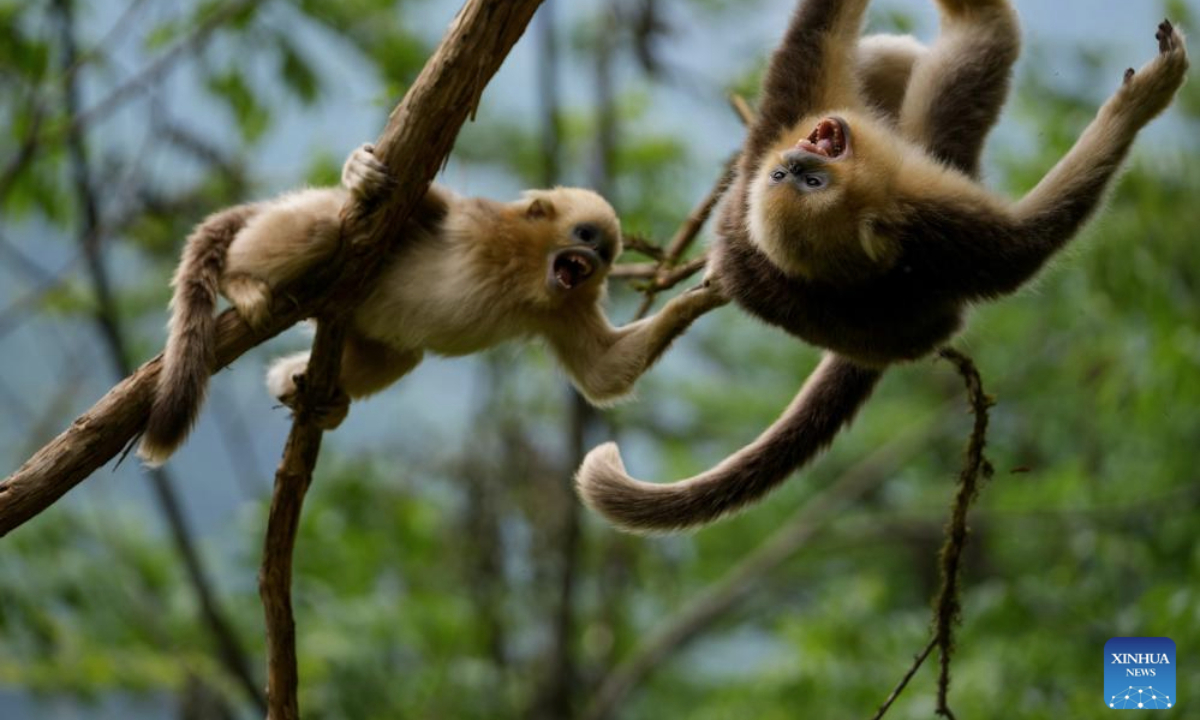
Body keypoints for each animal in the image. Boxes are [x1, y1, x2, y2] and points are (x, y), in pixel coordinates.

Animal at [137, 144, 727, 466]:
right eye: (585, 235)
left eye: (605, 253)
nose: (589, 258)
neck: (521, 270)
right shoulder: (475, 220)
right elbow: (420, 197)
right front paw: (360, 172)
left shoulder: (564, 306)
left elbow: (602, 374)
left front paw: (705, 296)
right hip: (315, 233)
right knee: (326, 223)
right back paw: (241, 281)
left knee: (399, 356)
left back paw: (306, 393)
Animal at [576, 0, 1189, 534]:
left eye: (798, 177)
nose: (797, 157)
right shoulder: (933, 226)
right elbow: (1024, 249)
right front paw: (1141, 101)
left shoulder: (782, 124)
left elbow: (818, 29)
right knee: (980, 51)